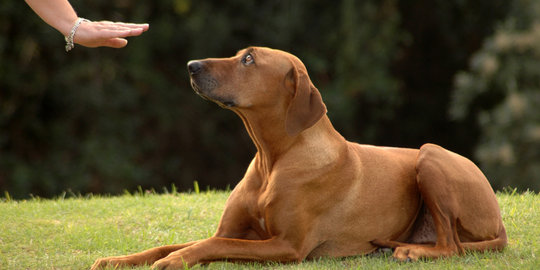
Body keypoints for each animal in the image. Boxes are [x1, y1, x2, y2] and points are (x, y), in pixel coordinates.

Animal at [92, 47, 506, 268]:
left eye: (248, 60)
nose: (191, 66)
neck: (272, 158)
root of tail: (499, 220)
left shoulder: (287, 246)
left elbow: (207, 246)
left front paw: (173, 262)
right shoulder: (230, 230)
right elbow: (174, 243)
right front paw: (118, 260)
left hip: (430, 156)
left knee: (452, 245)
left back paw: (410, 250)